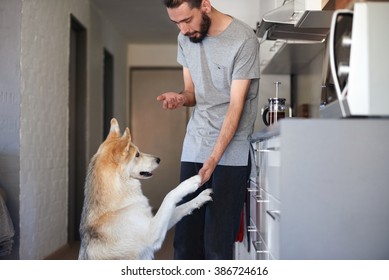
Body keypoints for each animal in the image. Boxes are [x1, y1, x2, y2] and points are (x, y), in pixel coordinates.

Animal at [79, 117, 212, 260]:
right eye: (137, 155)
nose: (159, 159)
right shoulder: (150, 234)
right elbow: (169, 196)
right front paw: (191, 182)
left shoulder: (152, 222)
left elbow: (180, 207)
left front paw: (201, 197)